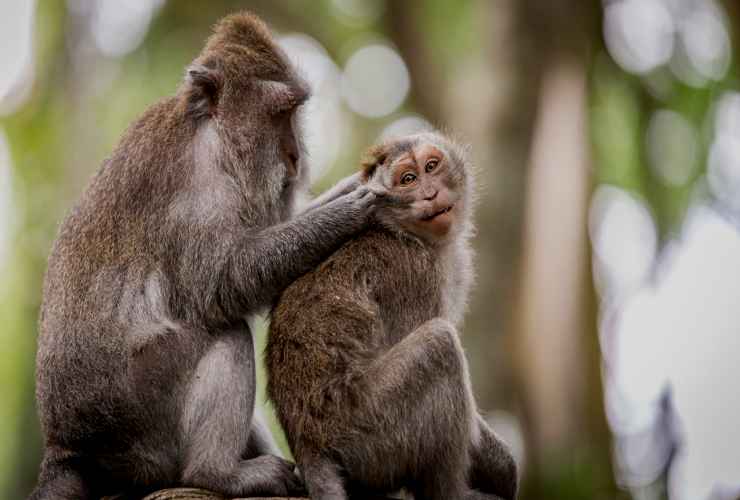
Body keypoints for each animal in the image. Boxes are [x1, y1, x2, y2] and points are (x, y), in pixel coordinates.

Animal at [30, 12, 404, 500]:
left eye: (295, 112)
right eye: (280, 112)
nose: (294, 156)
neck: (210, 130)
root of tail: (67, 445)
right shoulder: (200, 192)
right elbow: (225, 282)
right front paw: (345, 214)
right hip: (143, 417)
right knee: (226, 333)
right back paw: (216, 473)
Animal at [268, 132, 516, 500]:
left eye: (431, 166)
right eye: (408, 180)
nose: (430, 194)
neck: (407, 233)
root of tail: (307, 443)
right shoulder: (415, 276)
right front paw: (502, 467)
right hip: (370, 430)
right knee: (440, 345)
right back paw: (449, 493)